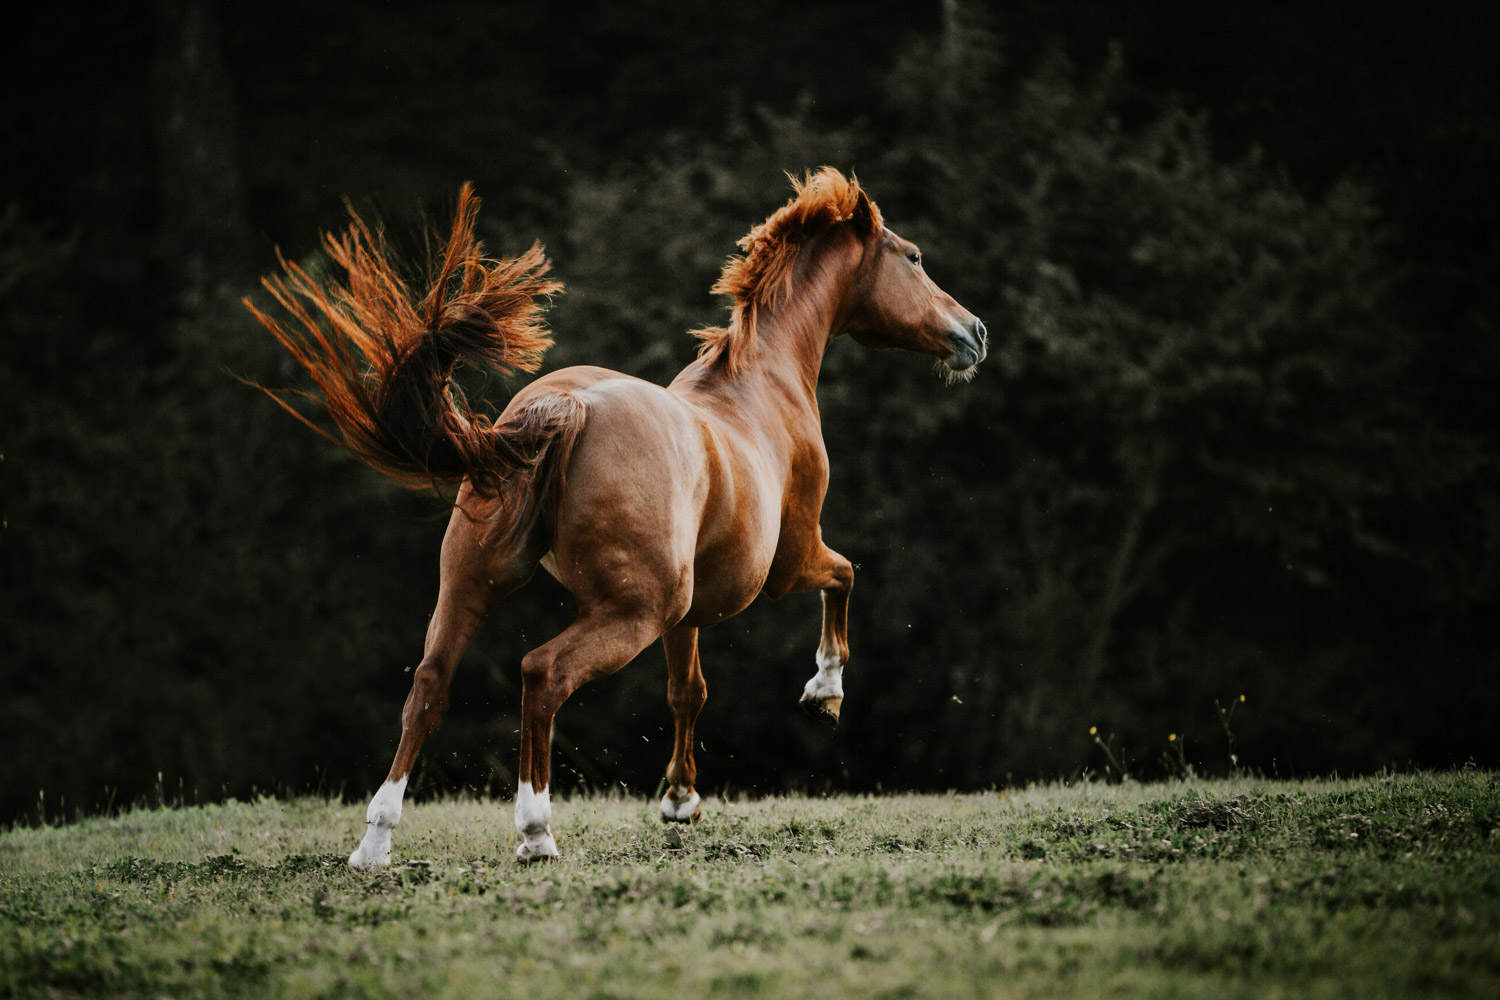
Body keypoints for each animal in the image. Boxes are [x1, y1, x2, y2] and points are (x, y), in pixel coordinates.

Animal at [249, 167, 984, 863]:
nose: (975, 332)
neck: (762, 387)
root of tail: (563, 408)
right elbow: (846, 575)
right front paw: (824, 691)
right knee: (541, 674)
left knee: (430, 683)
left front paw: (681, 800)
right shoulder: (789, 562)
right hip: (632, 611)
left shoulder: (689, 615)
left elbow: (688, 691)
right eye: (914, 257)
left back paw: (375, 843)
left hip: (474, 583)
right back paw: (535, 832)